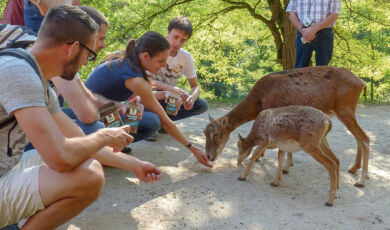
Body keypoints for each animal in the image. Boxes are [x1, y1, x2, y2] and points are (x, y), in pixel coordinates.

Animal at [204, 66, 368, 187]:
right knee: (359, 137)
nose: (209, 156)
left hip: (345, 109)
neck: (258, 101)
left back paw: (361, 180)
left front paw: (282, 165)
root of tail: (362, 83)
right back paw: (354, 168)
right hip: (348, 111)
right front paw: (286, 165)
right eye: (204, 133)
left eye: (217, 134)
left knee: (364, 138)